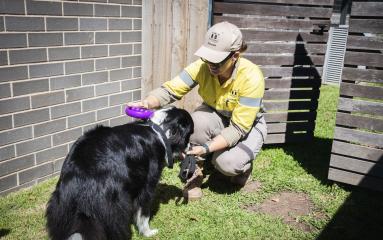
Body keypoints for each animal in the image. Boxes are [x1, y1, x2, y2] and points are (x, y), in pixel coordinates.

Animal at [46, 107, 194, 240]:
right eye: (189, 134)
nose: (190, 147)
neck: (160, 130)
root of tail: (81, 175)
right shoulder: (147, 185)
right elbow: (143, 214)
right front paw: (148, 233)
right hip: (115, 206)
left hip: (60, 207)